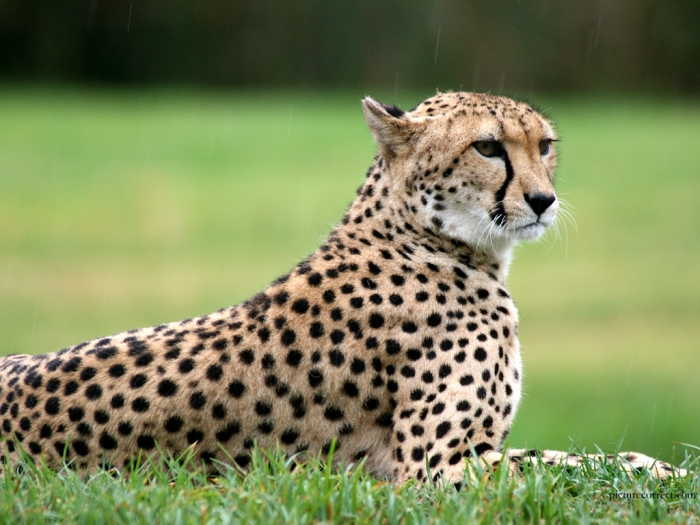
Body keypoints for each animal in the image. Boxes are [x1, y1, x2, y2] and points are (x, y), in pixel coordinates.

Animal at [0, 91, 683, 483]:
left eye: (545, 146)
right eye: (488, 147)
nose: (543, 201)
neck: (430, 238)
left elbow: (585, 459)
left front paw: (659, 465)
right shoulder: (434, 470)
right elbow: (578, 463)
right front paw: (665, 472)